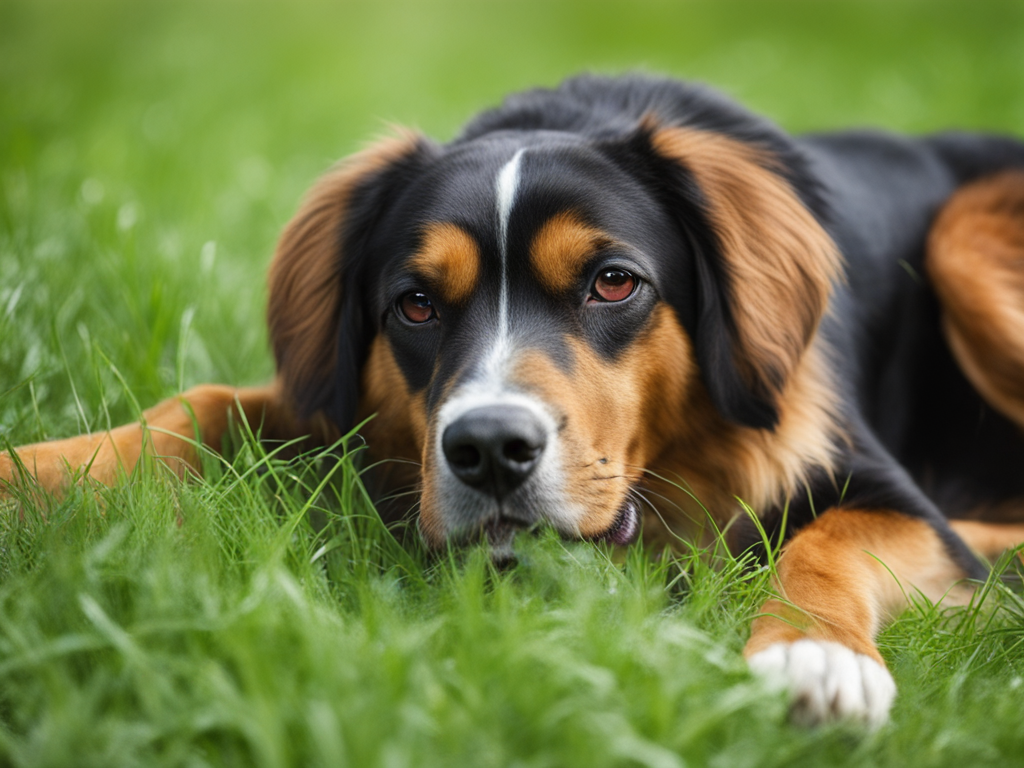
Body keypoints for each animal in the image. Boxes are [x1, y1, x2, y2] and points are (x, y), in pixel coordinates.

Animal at [2, 75, 1024, 729]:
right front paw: (35, 472)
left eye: (614, 283)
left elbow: (830, 539)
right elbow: (201, 405)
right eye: (416, 303)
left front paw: (813, 656)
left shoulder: (884, 490)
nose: (489, 449)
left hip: (966, 244)